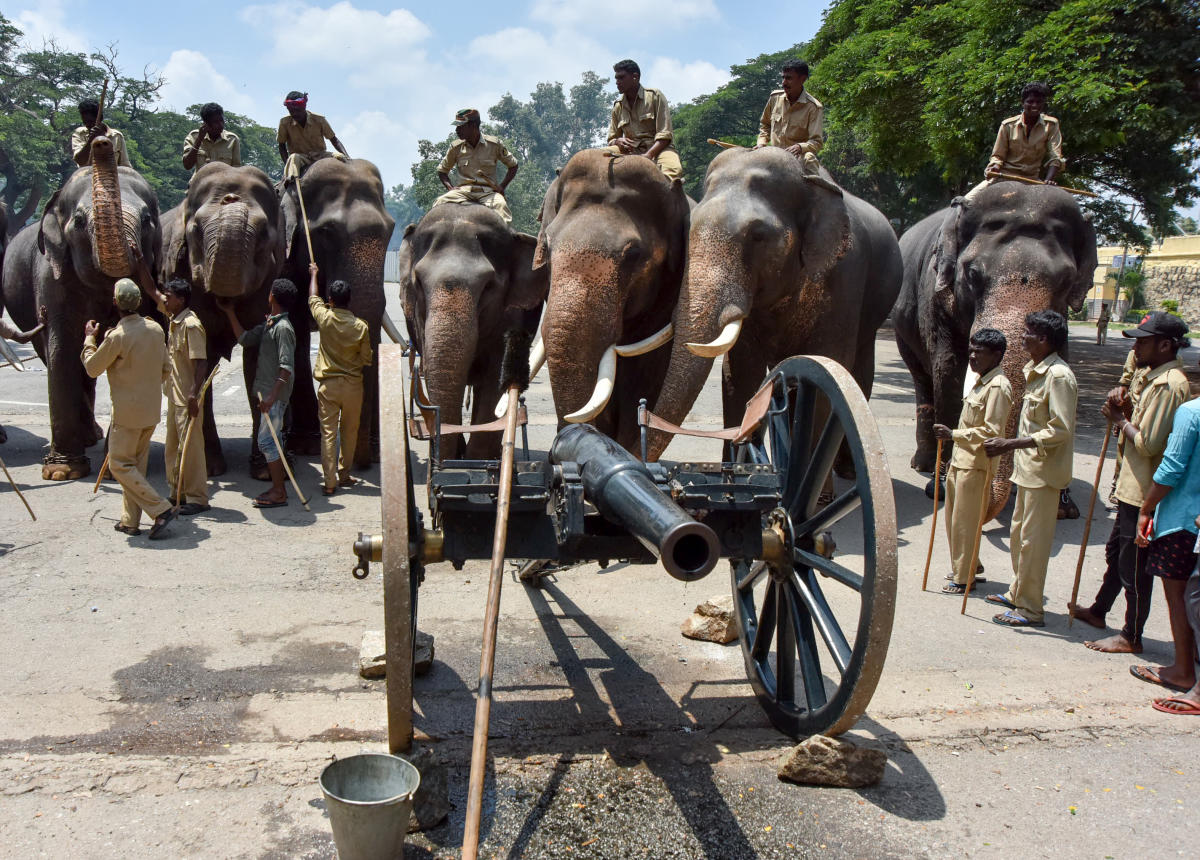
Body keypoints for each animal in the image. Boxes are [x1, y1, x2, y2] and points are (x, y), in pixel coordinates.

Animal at [1, 137, 161, 479]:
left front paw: (114, 469)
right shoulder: (51, 275)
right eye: (78, 221)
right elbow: (63, 350)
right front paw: (63, 471)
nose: (101, 140)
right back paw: (86, 440)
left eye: (147, 220)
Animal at [159, 162, 286, 475]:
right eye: (195, 230)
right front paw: (212, 468)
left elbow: (256, 359)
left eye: (264, 234)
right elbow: (201, 357)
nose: (224, 301)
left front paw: (263, 471)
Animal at [648, 147, 903, 461]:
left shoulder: (844, 279)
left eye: (758, 236)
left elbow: (827, 367)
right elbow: (741, 371)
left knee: (860, 371)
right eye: (688, 229)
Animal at [893, 182, 1097, 519]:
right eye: (972, 274)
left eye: (1066, 280)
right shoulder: (935, 298)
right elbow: (949, 371)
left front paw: (1064, 509)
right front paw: (940, 488)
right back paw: (922, 464)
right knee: (922, 379)